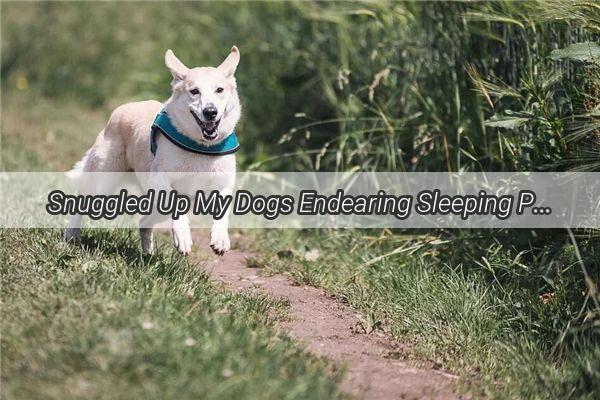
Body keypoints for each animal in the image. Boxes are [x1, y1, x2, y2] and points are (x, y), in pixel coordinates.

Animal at [65, 46, 241, 253]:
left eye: (219, 90)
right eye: (194, 91)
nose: (210, 112)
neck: (200, 147)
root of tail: (121, 109)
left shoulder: (224, 183)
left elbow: (222, 211)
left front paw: (220, 238)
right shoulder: (160, 178)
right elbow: (176, 201)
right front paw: (183, 236)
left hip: (155, 206)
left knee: (143, 223)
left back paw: (148, 253)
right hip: (103, 181)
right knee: (81, 201)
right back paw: (71, 235)